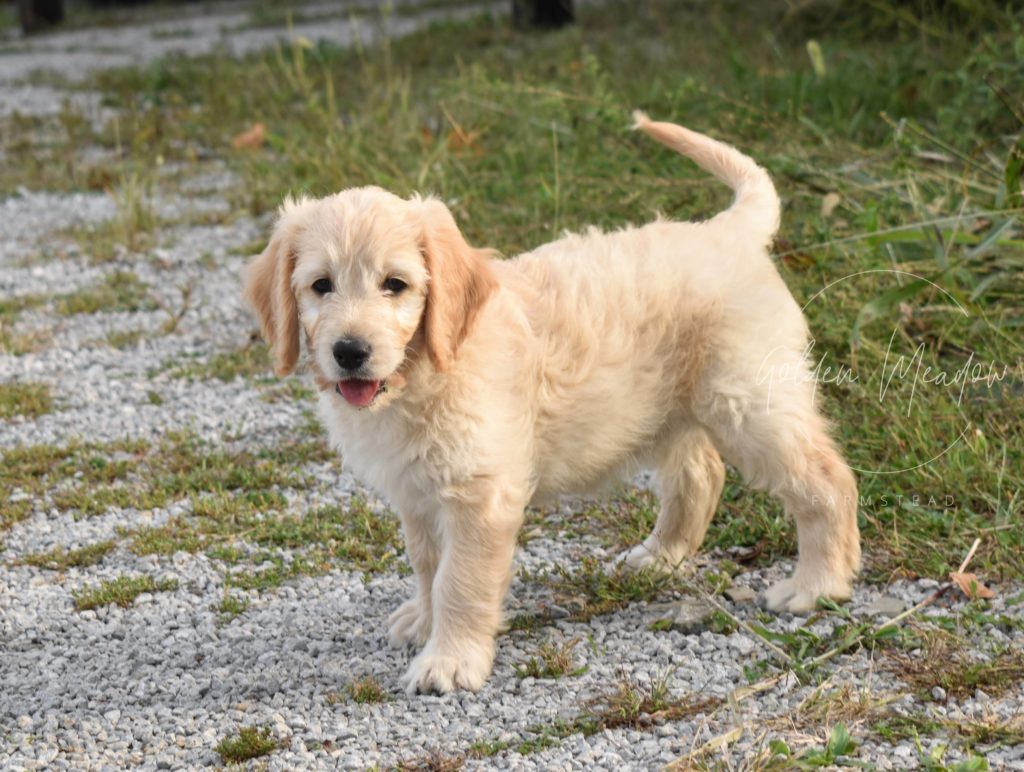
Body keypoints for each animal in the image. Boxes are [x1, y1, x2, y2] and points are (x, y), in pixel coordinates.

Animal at [243, 112, 860, 692]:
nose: (350, 351)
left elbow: (459, 579)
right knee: (701, 473)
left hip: (749, 400)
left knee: (826, 480)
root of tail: (727, 232)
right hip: (668, 407)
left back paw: (817, 585)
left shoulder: (480, 492)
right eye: (321, 286)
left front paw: (450, 660)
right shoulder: (415, 491)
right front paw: (424, 620)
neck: (428, 372)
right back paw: (661, 556)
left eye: (395, 285)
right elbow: (426, 563)